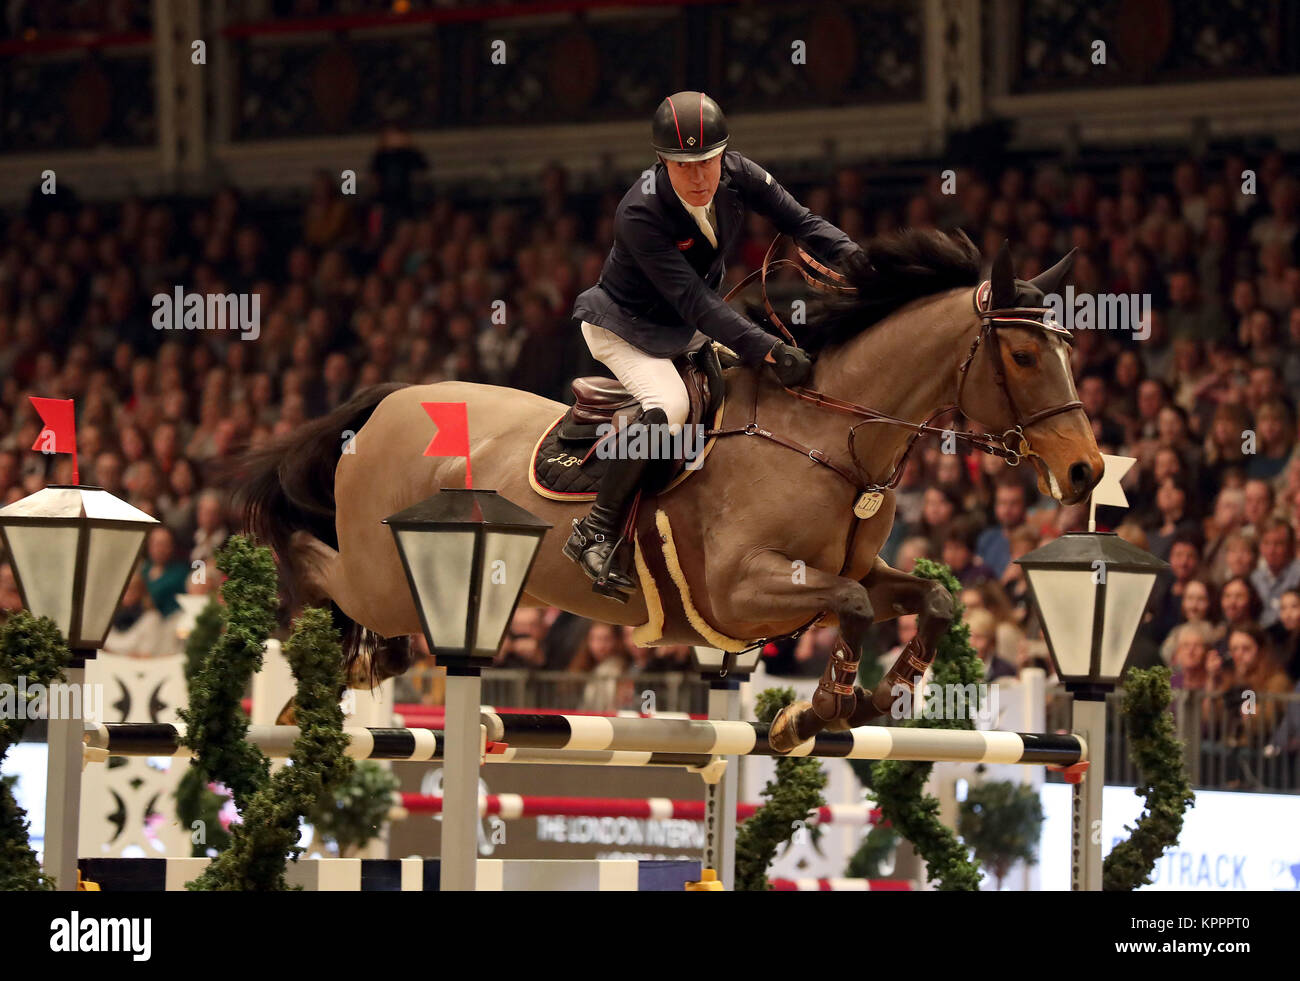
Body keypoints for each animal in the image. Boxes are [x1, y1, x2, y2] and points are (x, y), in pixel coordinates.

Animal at [233, 232, 1097, 753]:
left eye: (1067, 349)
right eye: (1024, 355)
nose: (1088, 469)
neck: (830, 434)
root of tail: (390, 400)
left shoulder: (845, 576)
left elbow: (928, 599)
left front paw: (876, 697)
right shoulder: (741, 589)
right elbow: (850, 605)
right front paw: (816, 711)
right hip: (379, 573)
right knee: (320, 567)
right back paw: (295, 648)